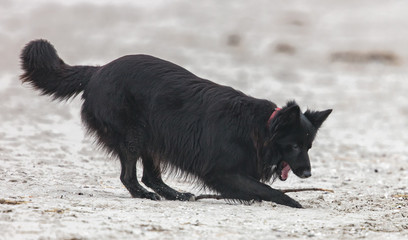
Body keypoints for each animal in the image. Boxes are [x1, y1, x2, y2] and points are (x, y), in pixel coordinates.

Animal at [19, 39, 332, 208]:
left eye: (309, 146)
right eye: (294, 146)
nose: (308, 174)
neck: (259, 127)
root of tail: (97, 71)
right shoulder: (221, 172)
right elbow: (265, 189)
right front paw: (292, 201)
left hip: (153, 139)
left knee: (151, 176)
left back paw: (175, 194)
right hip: (134, 136)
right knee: (130, 176)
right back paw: (145, 195)